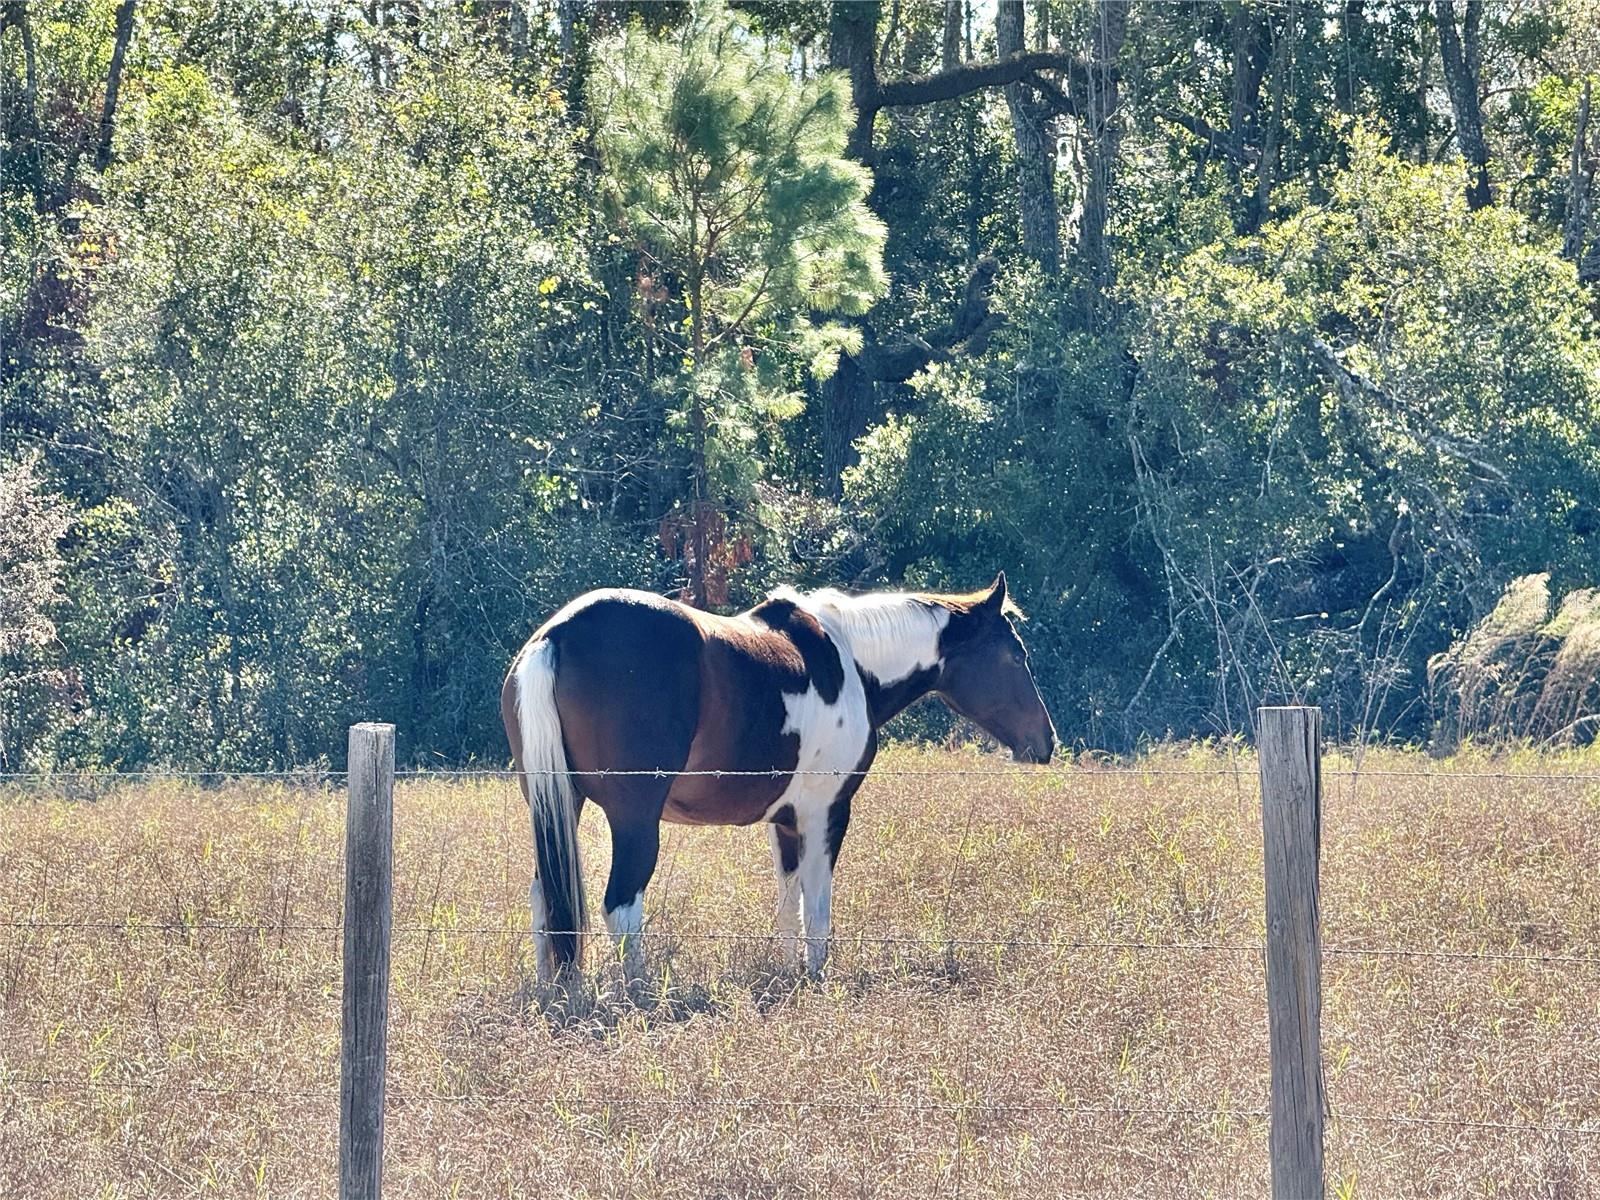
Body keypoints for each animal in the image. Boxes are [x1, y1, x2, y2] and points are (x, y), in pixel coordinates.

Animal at [499, 569, 1049, 979]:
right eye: (1016, 654)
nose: (1046, 742)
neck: (849, 661)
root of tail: (556, 635)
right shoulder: (826, 814)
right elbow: (818, 909)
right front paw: (816, 978)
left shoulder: (786, 821)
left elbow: (789, 906)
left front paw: (790, 977)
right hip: (634, 821)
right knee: (621, 905)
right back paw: (638, 991)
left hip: (560, 807)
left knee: (547, 899)